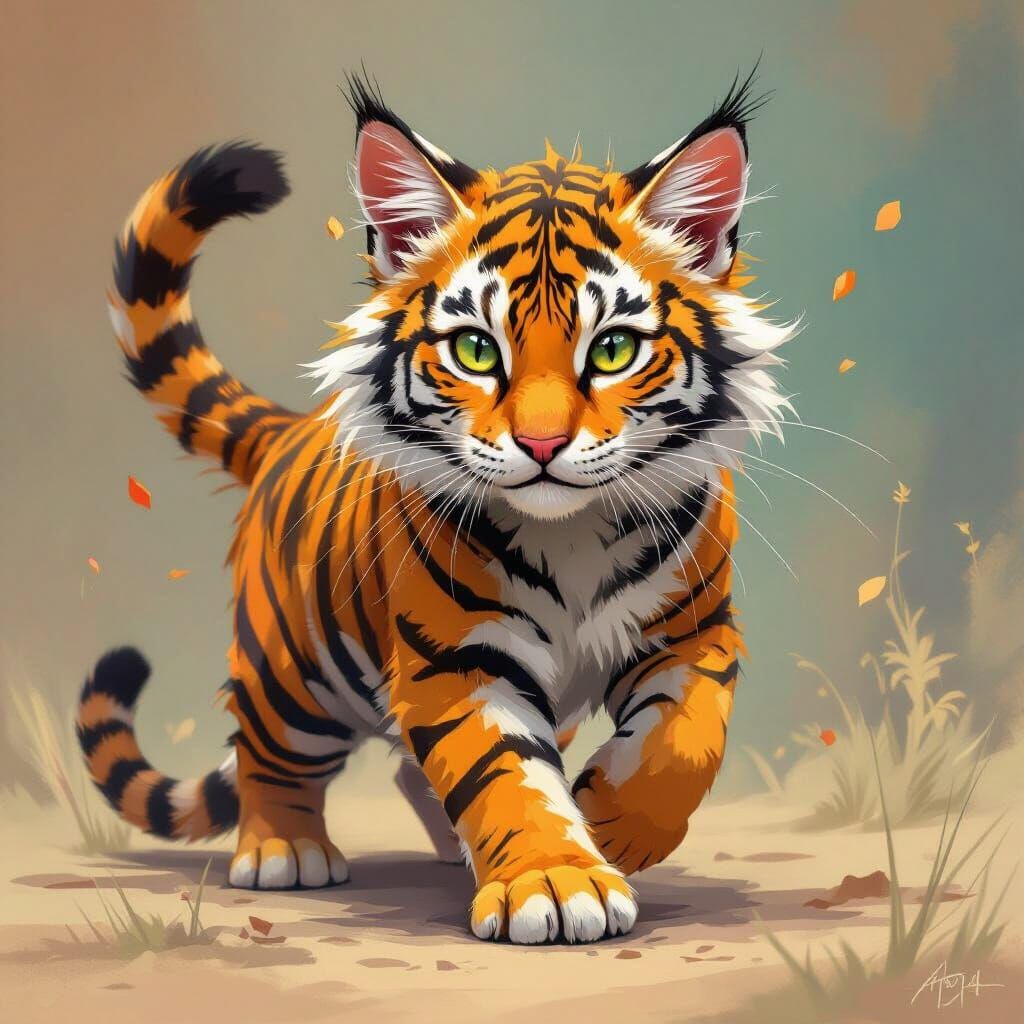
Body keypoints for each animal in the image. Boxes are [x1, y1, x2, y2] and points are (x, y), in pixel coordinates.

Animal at [78, 70, 795, 945]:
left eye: (614, 349)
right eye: (478, 350)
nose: (543, 443)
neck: (572, 534)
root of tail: (291, 429)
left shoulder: (693, 634)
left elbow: (684, 745)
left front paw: (608, 823)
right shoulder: (459, 658)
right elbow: (502, 773)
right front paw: (558, 881)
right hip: (295, 675)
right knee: (268, 754)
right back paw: (284, 851)